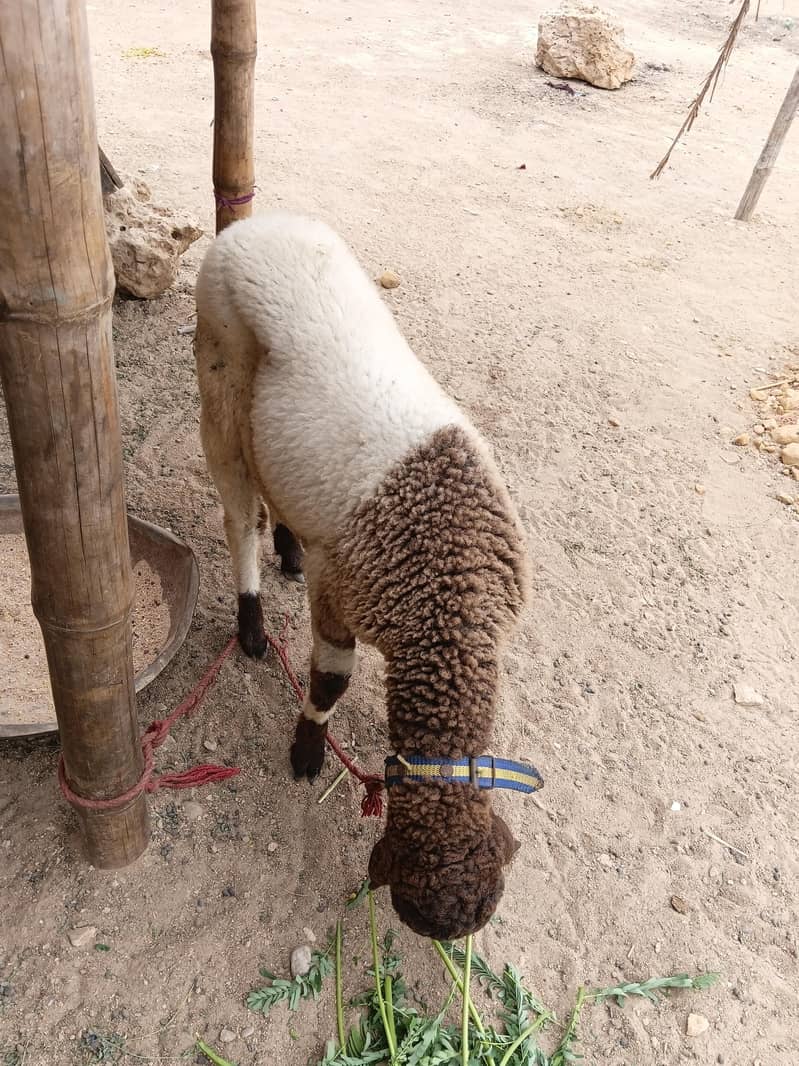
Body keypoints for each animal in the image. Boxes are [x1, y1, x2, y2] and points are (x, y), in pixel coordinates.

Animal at [193, 211, 531, 939]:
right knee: (237, 514)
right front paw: (307, 751)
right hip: (219, 378)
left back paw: (288, 548)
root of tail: (254, 224)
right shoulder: (338, 598)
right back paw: (251, 623)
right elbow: (329, 680)